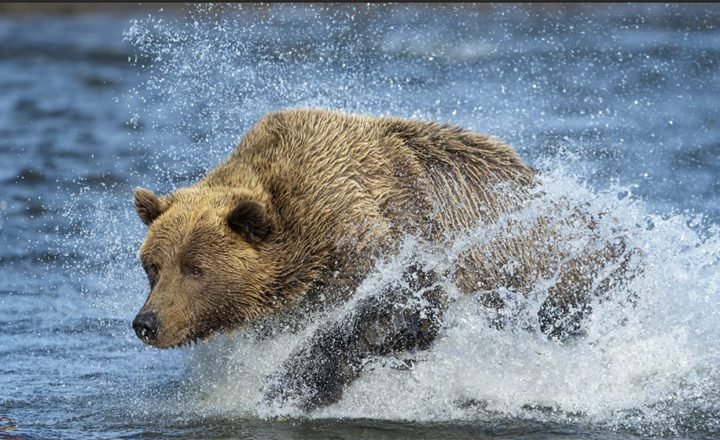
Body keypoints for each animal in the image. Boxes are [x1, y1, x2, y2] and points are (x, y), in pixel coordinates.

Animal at [132, 108, 635, 410]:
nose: (146, 323)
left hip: (560, 275)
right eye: (153, 265)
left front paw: (292, 385)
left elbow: (397, 309)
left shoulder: (381, 235)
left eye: (195, 268)